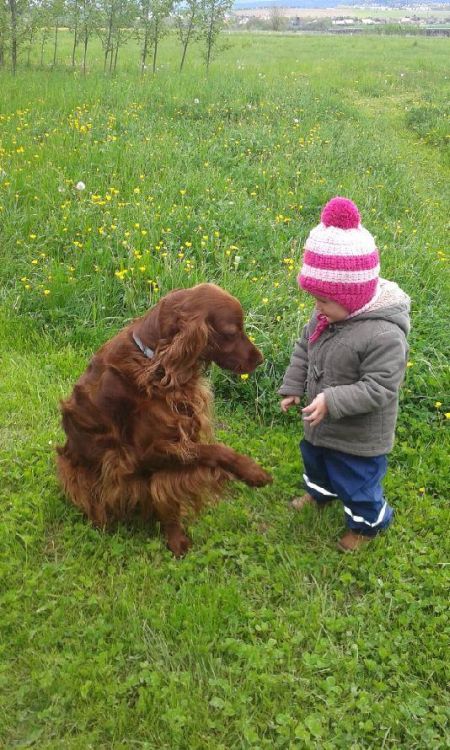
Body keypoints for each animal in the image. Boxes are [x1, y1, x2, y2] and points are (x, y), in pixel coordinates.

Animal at [57, 284, 272, 556]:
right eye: (232, 332)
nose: (260, 359)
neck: (155, 363)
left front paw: (175, 538)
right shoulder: (145, 455)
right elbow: (216, 450)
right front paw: (252, 471)